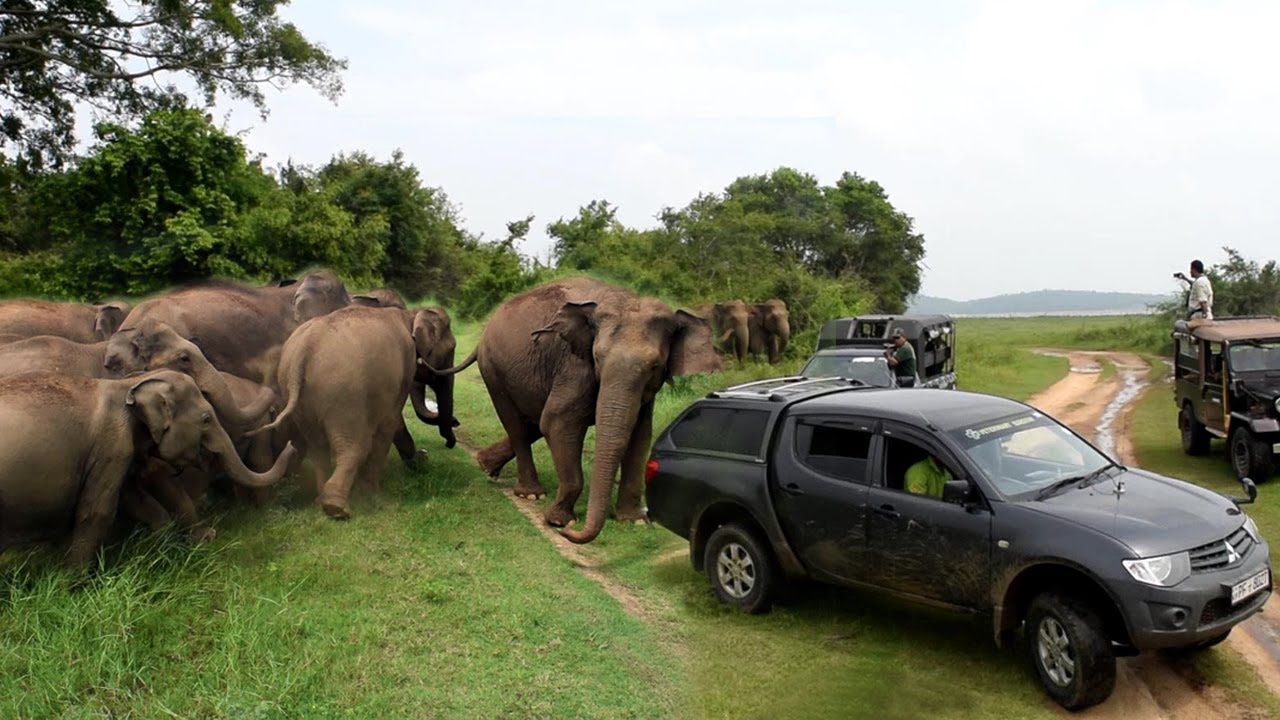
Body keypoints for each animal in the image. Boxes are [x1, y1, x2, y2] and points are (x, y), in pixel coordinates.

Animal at [0, 370, 296, 566]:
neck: (128, 384)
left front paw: (172, 543)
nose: (292, 445)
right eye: (206, 419)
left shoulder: (122, 455)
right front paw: (73, 585)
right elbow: (97, 511)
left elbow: (136, 498)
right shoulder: (112, 446)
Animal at [249, 305, 418, 519]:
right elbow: (388, 426)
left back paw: (320, 502)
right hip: (343, 393)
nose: (419, 460)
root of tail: (307, 345)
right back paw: (337, 509)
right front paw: (371, 494)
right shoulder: (405, 369)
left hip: (300, 394)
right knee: (354, 446)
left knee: (317, 447)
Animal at [432, 277, 719, 543]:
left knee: (532, 422)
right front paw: (559, 521)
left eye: (654, 366)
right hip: (493, 369)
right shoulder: (575, 366)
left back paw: (486, 464)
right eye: (597, 358)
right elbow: (557, 422)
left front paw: (634, 521)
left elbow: (641, 434)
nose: (570, 532)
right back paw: (531, 493)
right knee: (517, 423)